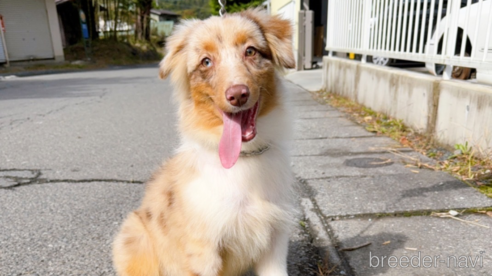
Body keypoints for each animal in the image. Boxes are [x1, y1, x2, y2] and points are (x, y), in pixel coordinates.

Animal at [113, 8, 294, 276]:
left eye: (250, 51)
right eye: (206, 62)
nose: (238, 95)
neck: (243, 159)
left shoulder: (275, 238)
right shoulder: (203, 247)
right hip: (135, 235)